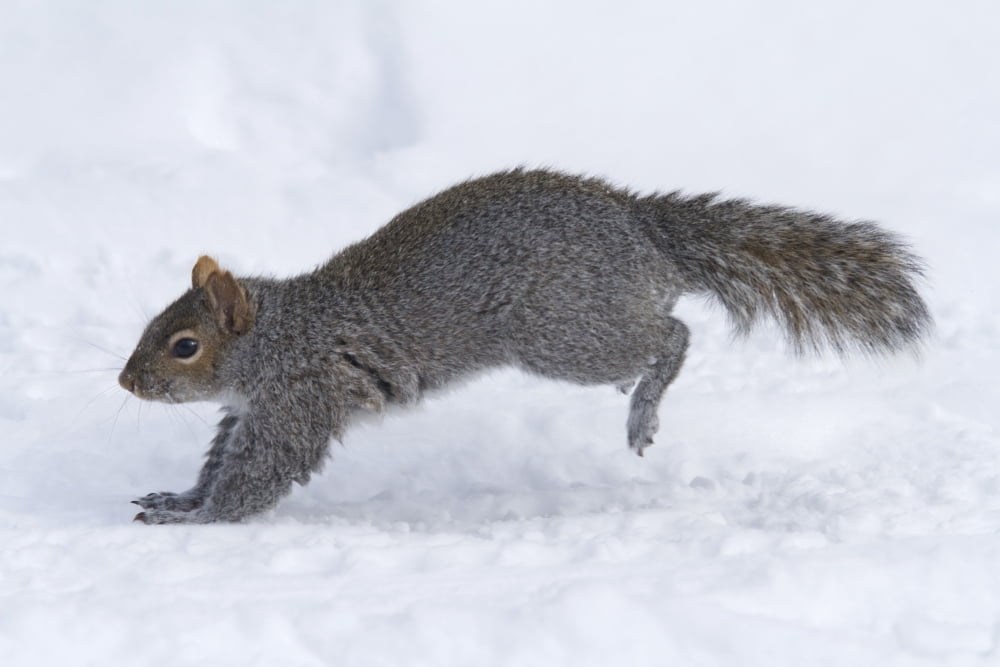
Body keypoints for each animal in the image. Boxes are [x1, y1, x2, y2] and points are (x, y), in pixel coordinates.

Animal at [120, 168, 932, 524]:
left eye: (184, 345)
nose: (127, 384)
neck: (279, 334)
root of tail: (643, 229)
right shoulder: (252, 407)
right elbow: (221, 459)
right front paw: (180, 494)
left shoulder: (300, 393)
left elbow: (259, 473)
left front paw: (194, 519)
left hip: (561, 332)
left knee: (672, 332)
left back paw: (643, 405)